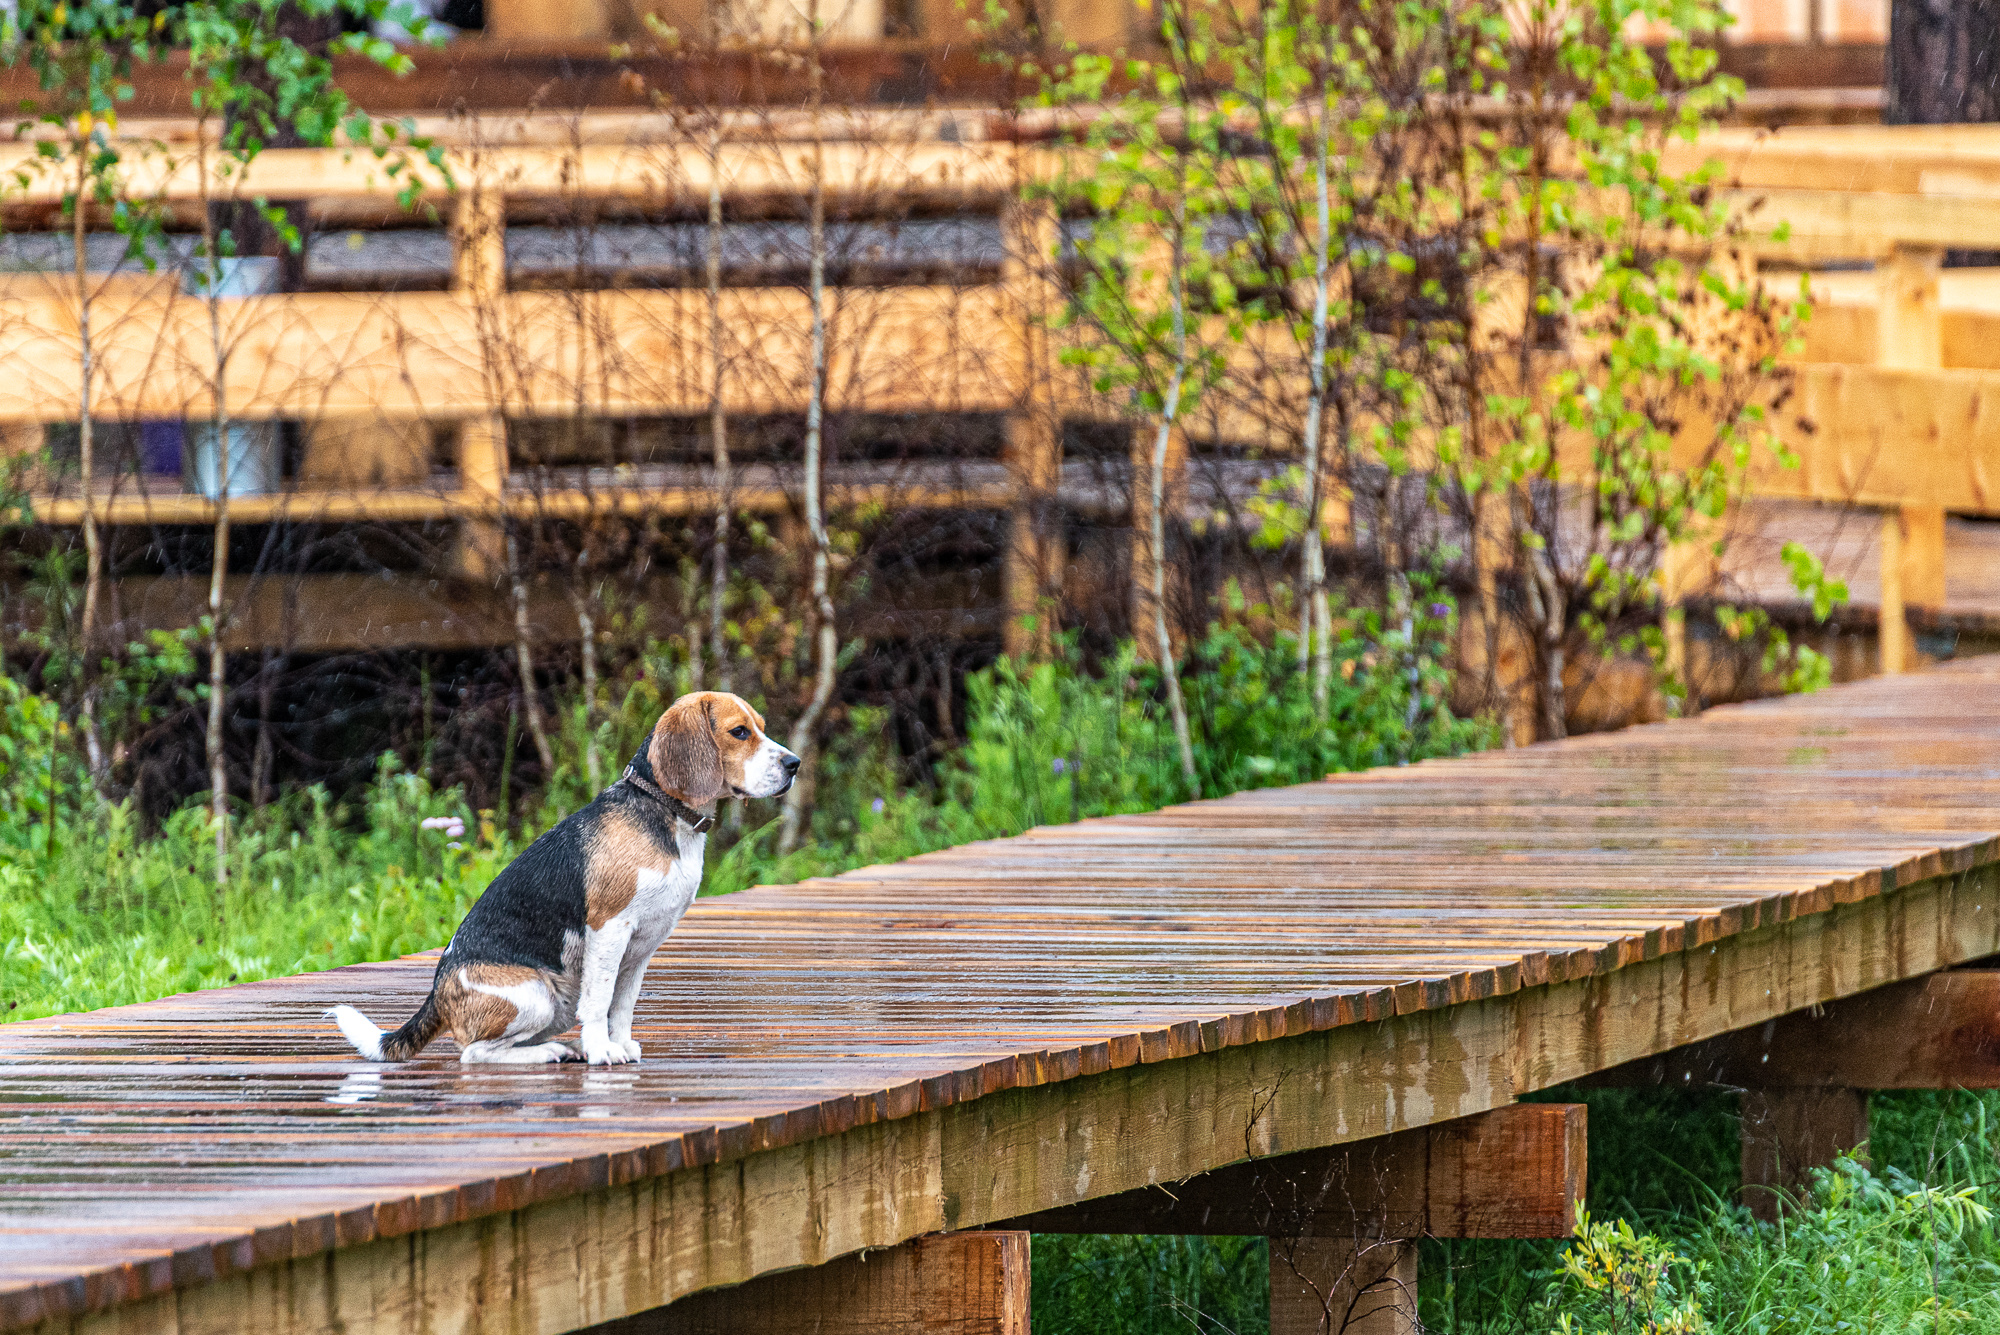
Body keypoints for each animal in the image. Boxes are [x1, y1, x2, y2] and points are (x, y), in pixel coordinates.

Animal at [330, 695, 796, 1071]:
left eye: (761, 727)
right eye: (739, 732)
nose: (794, 764)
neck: (664, 811)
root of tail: (438, 994)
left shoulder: (642, 947)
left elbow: (622, 1005)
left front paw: (620, 1044)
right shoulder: (609, 928)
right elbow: (600, 1001)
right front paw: (601, 1051)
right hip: (537, 995)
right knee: (474, 1053)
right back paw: (550, 1052)